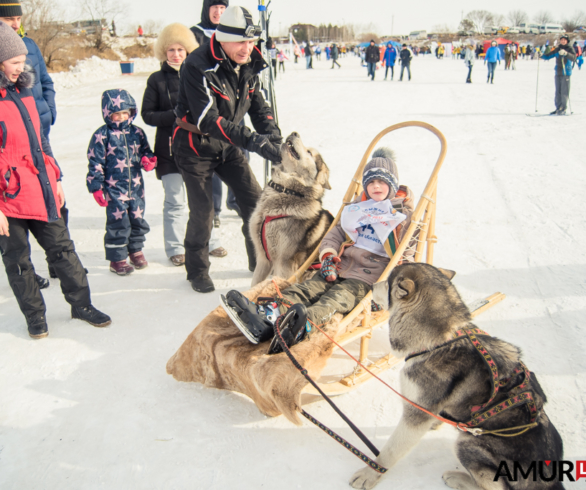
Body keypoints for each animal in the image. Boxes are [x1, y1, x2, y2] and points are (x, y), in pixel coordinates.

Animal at [350, 264, 564, 490]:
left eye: (387, 283)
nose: (372, 285)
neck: (440, 341)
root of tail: (551, 482)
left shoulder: (417, 413)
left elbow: (389, 452)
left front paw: (370, 473)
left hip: (469, 444)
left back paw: (458, 478)